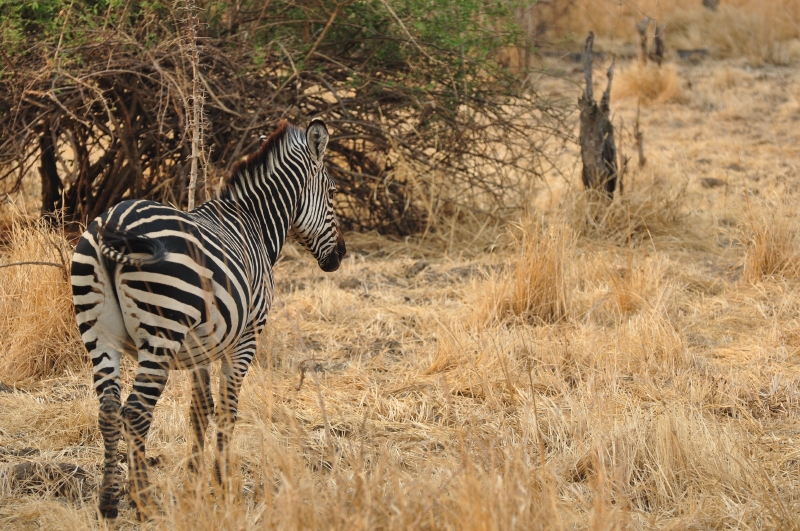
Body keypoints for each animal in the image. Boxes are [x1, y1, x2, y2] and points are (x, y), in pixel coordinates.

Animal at [70, 119, 345, 519]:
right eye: (332, 191)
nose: (340, 255)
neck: (255, 224)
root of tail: (114, 219)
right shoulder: (246, 337)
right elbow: (229, 409)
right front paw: (224, 482)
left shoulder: (200, 346)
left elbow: (200, 411)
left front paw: (195, 481)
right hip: (161, 332)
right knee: (135, 412)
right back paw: (144, 501)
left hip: (98, 332)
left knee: (108, 409)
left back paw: (108, 501)